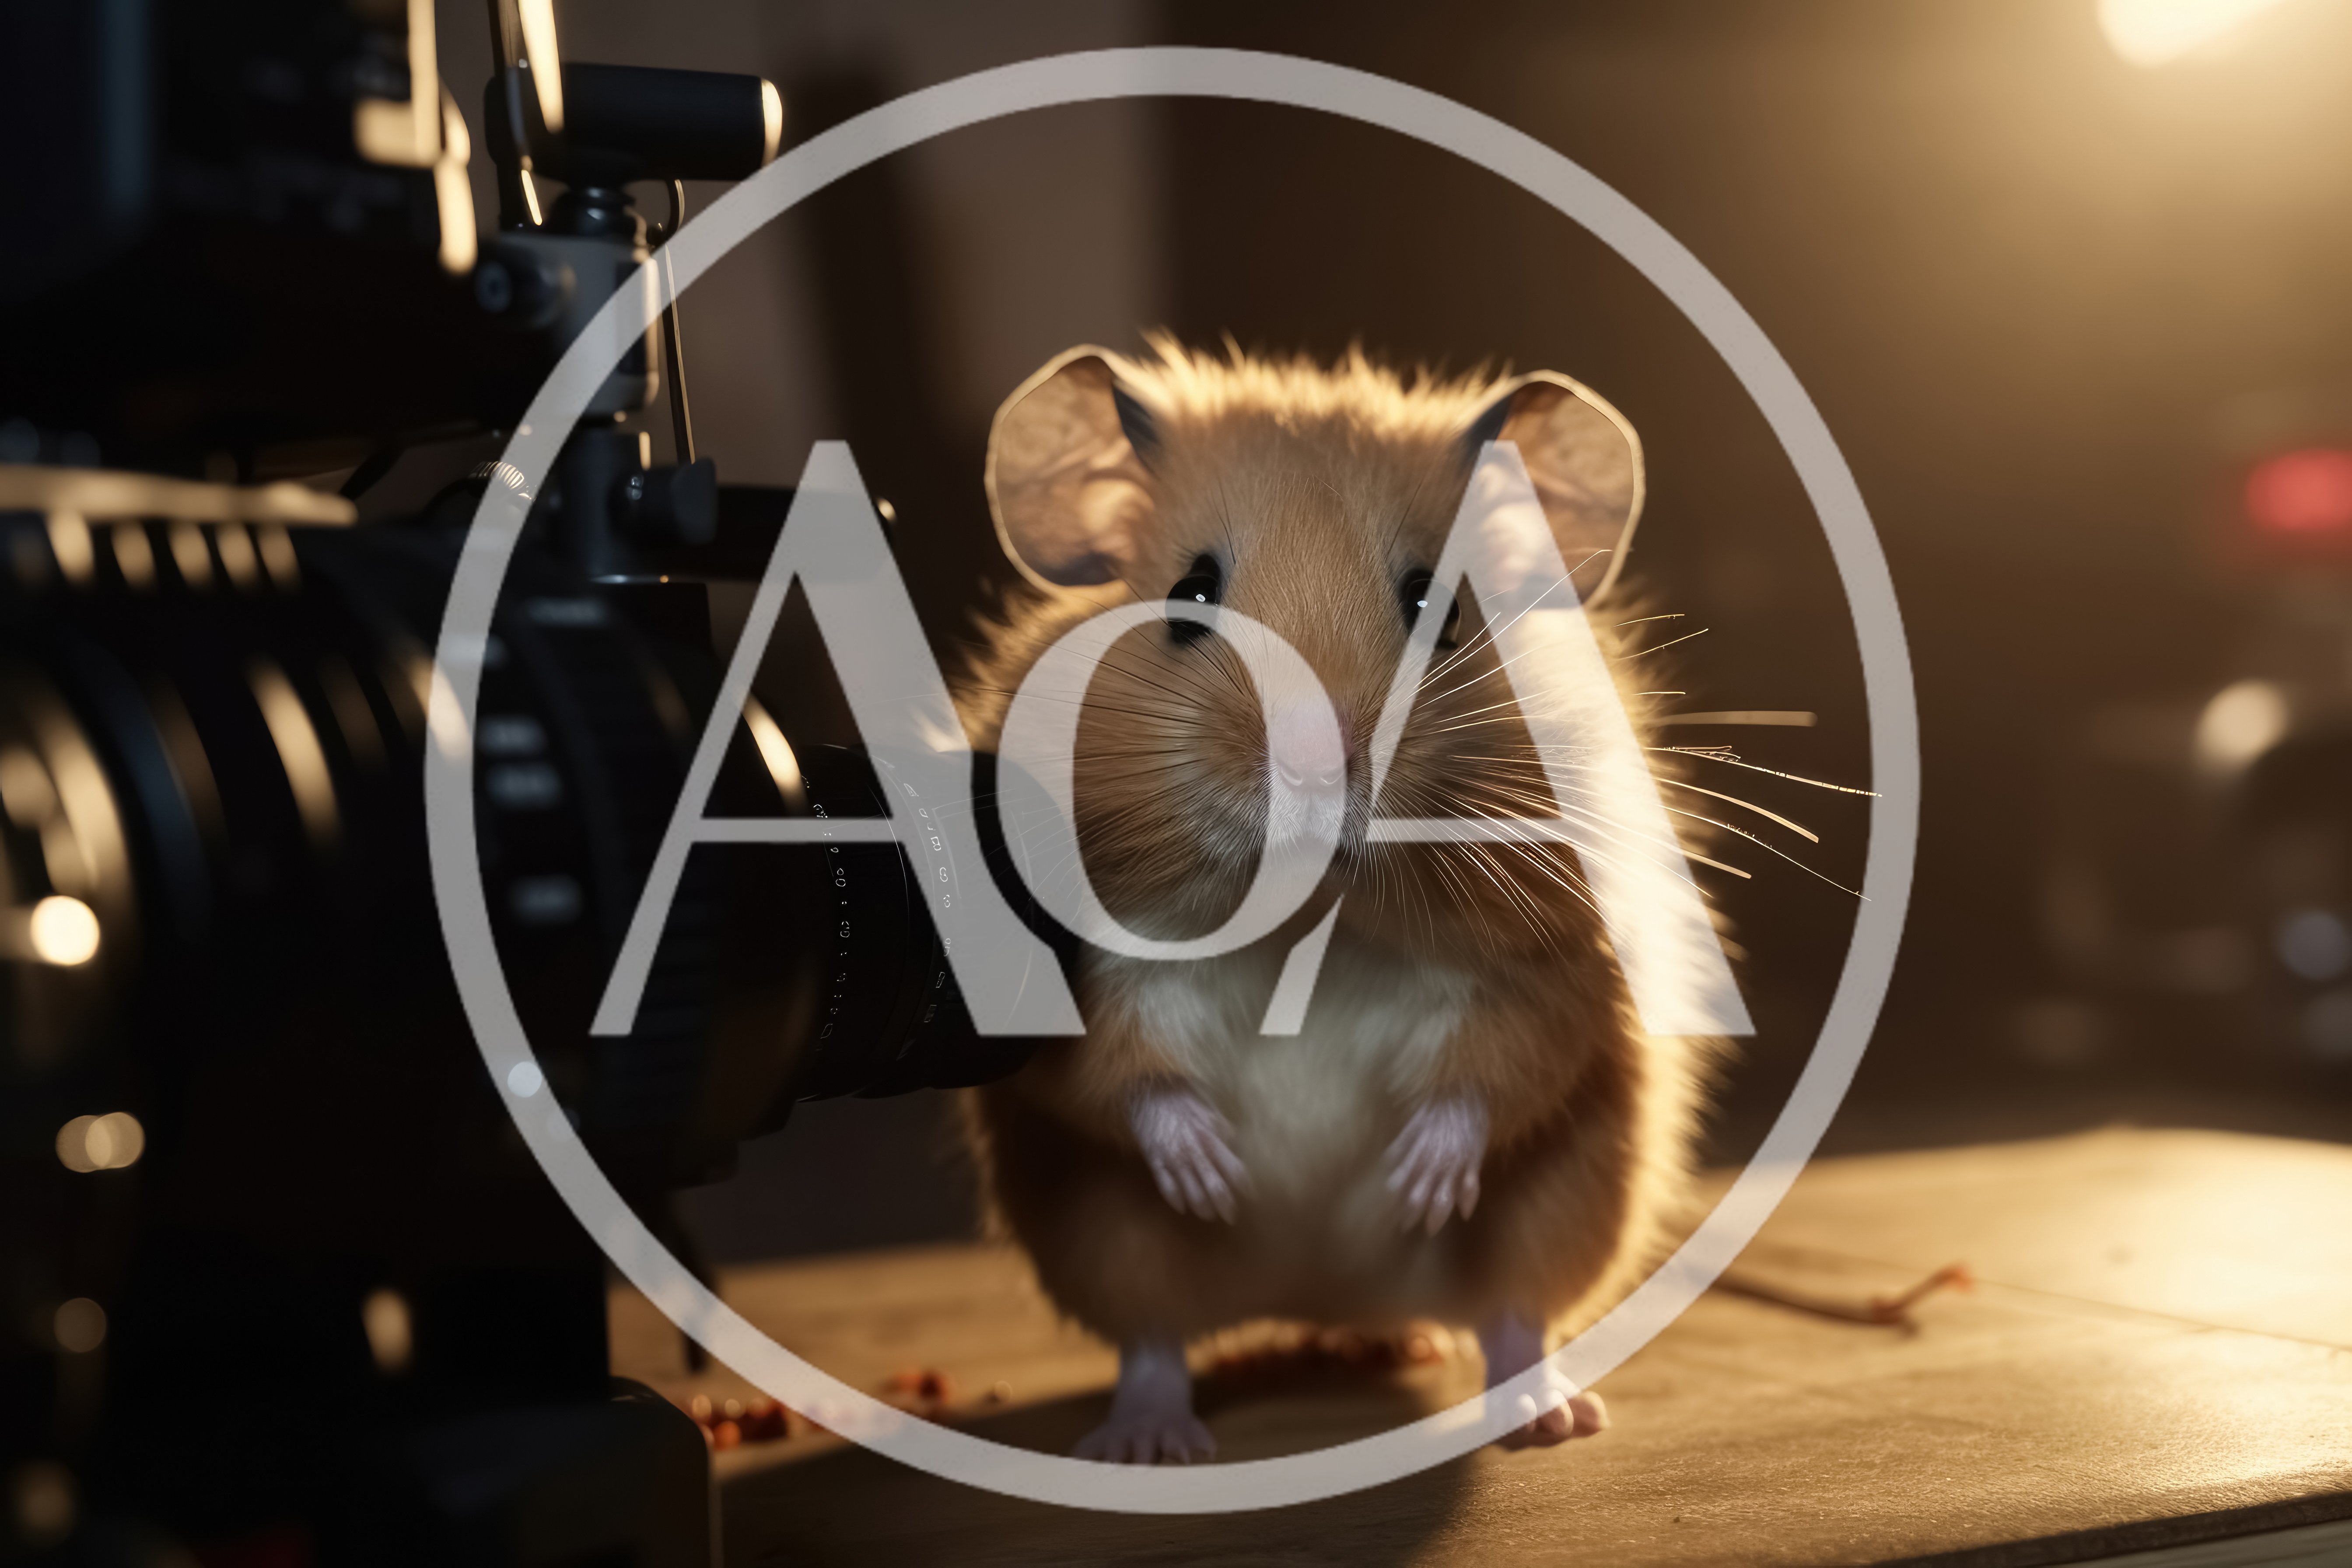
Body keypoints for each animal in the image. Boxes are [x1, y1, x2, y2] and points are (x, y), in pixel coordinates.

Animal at [954, 338, 1722, 1462]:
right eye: (1189, 597)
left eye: (1438, 607)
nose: (1318, 770)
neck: (1312, 920)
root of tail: (1325, 1296)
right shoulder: (1075, 979)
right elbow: (1122, 1075)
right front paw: (1215, 1175)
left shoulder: (1557, 961)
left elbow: (1496, 1066)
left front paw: (1419, 1186)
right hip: (1104, 1240)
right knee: (1152, 1338)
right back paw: (1148, 1442)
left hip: (1569, 1202)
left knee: (1516, 1311)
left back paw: (1540, 1411)